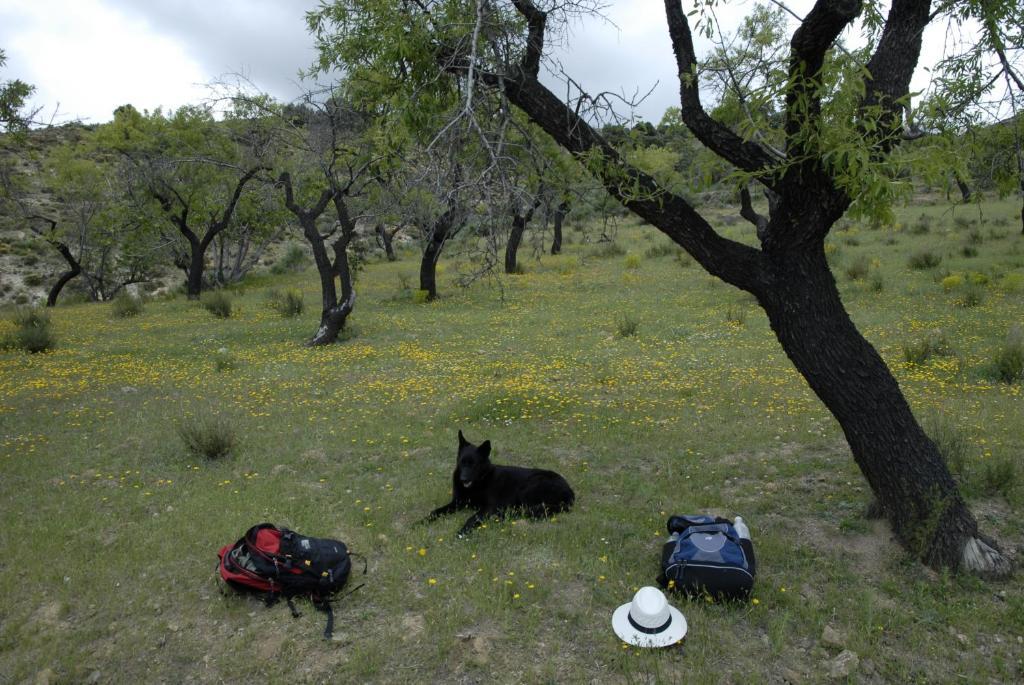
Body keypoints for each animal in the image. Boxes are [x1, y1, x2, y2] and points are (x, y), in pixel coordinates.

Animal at [425, 430, 577, 536]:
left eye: (474, 464)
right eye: (462, 462)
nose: (463, 479)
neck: (479, 481)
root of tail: (570, 491)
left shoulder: (490, 507)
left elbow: (472, 518)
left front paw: (463, 532)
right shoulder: (457, 502)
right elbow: (435, 511)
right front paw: (423, 521)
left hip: (527, 489)